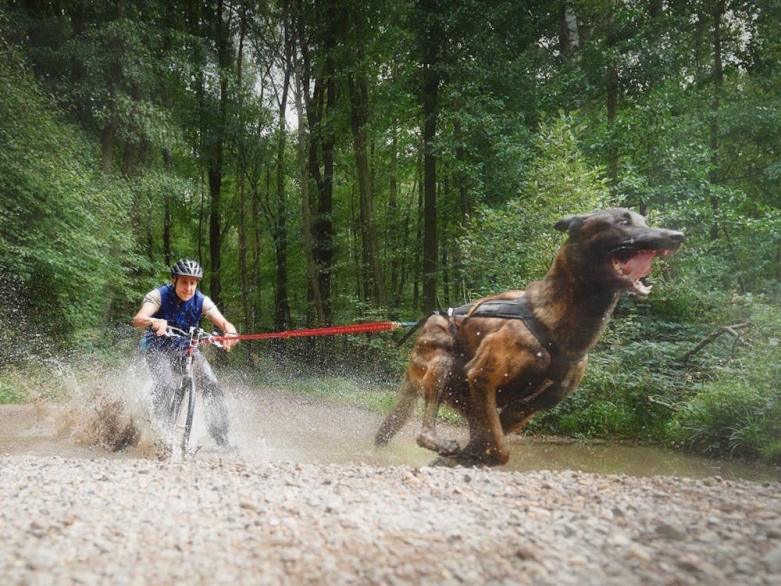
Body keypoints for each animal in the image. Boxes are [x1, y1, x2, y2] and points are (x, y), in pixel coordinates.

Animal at [374, 208, 684, 464]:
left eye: (645, 221)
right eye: (622, 221)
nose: (677, 236)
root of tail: (434, 315)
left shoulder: (525, 407)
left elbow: (490, 439)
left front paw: (470, 456)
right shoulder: (483, 377)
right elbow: (500, 448)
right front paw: (473, 456)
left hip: (467, 397)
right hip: (441, 365)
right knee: (424, 430)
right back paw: (440, 444)